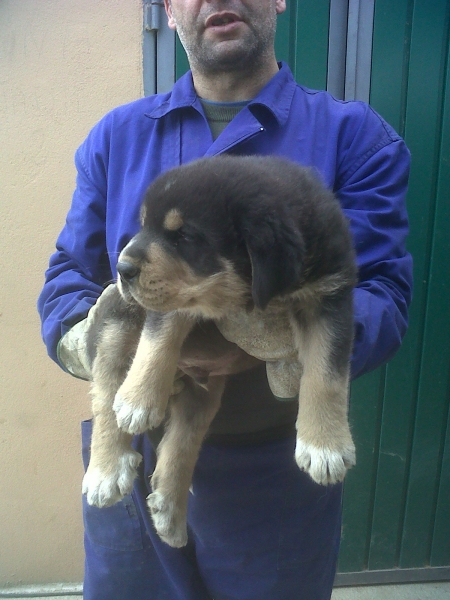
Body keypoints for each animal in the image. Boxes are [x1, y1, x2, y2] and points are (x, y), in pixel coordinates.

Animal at [81, 156, 358, 548]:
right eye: (144, 226)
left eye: (184, 236)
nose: (122, 268)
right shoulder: (174, 298)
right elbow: (158, 339)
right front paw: (138, 399)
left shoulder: (329, 296)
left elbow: (326, 374)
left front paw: (325, 444)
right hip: (114, 318)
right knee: (105, 391)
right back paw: (107, 470)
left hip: (203, 391)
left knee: (182, 439)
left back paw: (169, 508)